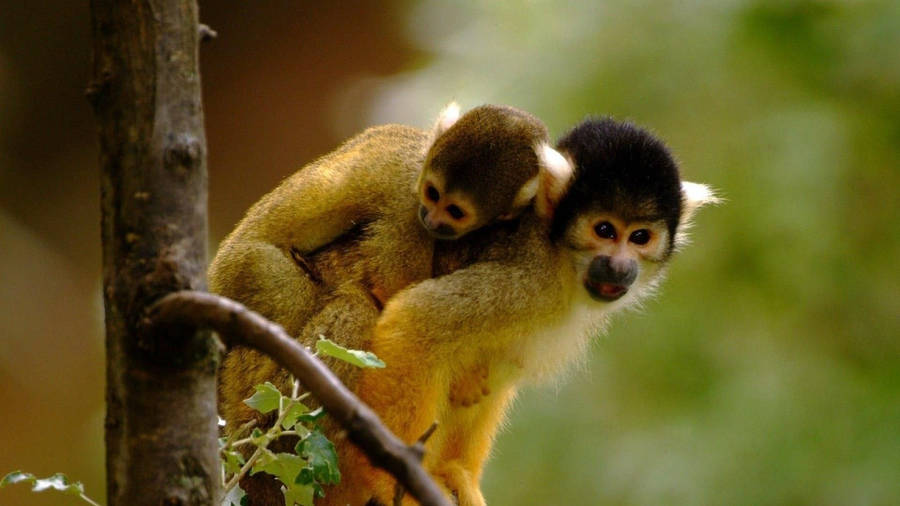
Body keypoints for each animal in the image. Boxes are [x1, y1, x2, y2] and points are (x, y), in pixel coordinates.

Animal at [209, 104, 557, 504]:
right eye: (432, 193)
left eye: (455, 211)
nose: (431, 217)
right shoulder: (407, 205)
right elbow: (395, 291)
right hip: (250, 286)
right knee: (347, 308)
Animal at [325, 117, 718, 506]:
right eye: (604, 230)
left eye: (640, 237)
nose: (620, 267)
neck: (561, 259)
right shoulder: (529, 282)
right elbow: (416, 321)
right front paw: (392, 481)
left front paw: (457, 475)